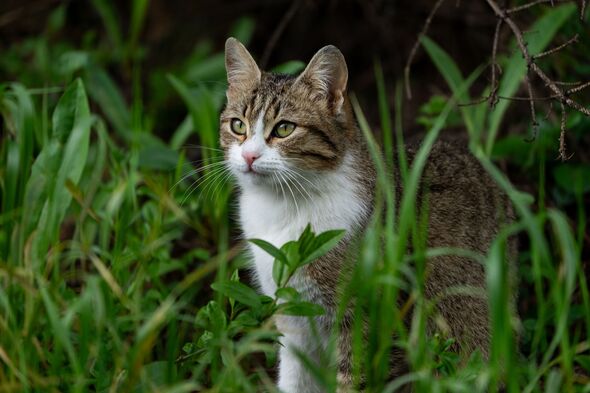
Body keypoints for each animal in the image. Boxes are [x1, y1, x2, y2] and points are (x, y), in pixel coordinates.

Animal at [221, 37, 520, 392]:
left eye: (283, 129)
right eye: (237, 125)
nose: (249, 156)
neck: (283, 207)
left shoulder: (367, 318)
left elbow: (355, 379)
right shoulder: (294, 319)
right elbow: (295, 378)